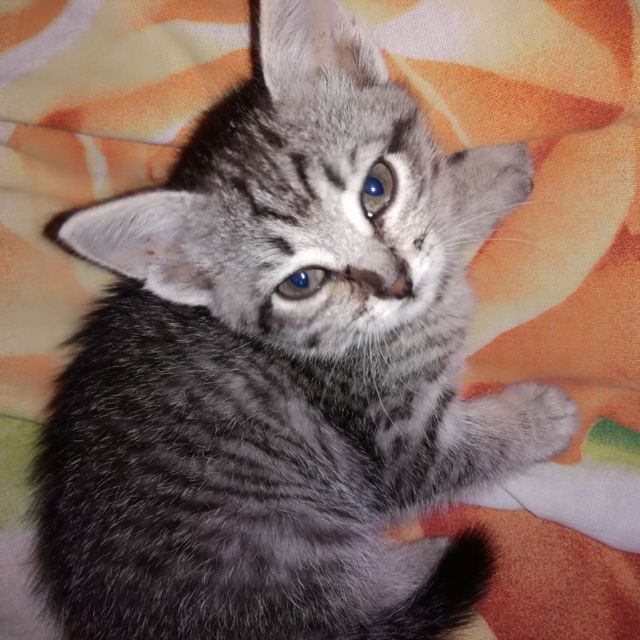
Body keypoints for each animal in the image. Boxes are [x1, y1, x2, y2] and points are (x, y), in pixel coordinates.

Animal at [33, 1, 579, 638]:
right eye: (302, 282)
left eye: (377, 187)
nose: (397, 282)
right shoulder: (396, 449)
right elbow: (463, 455)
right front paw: (543, 416)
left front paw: (478, 177)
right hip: (288, 542)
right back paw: (426, 560)